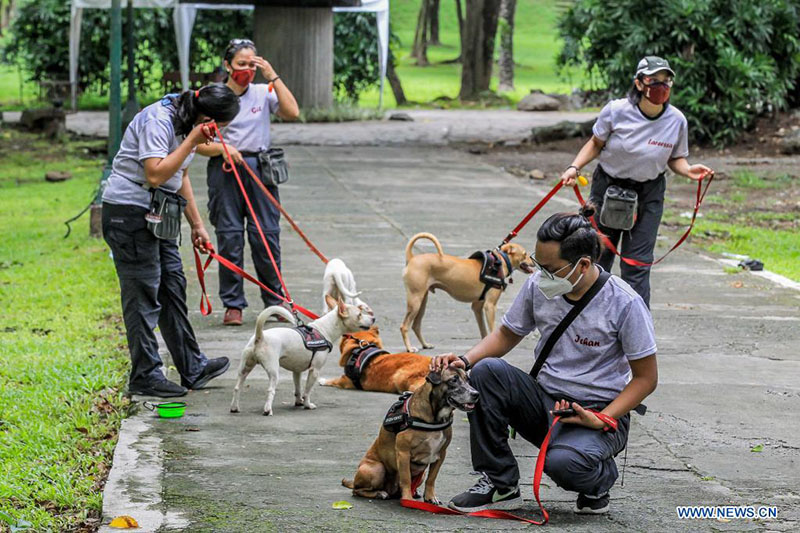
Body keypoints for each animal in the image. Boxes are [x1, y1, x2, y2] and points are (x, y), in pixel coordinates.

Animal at [231, 300, 376, 416]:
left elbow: (298, 389)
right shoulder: (314, 371)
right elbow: (307, 391)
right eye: (359, 314)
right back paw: (267, 410)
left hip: (244, 368)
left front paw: (298, 402)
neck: (323, 330)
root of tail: (259, 337)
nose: (373, 318)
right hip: (273, 372)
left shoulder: (297, 371)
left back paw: (234, 408)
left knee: (237, 387)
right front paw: (307, 405)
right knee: (270, 390)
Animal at [340, 366, 478, 502]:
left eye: (468, 379)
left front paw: (430, 496)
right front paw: (407, 499)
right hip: (377, 469)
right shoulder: (403, 453)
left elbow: (431, 479)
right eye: (453, 380)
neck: (435, 417)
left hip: (420, 474)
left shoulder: (440, 454)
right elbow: (406, 479)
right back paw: (380, 493)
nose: (476, 394)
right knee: (357, 490)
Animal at [398, 233, 532, 354]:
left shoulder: (477, 307)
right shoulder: (490, 306)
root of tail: (411, 258)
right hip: (415, 301)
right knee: (404, 326)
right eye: (525, 254)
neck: (500, 260)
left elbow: (483, 331)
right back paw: (409, 348)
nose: (533, 261)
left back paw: (425, 344)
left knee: (416, 325)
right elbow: (492, 330)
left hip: (422, 302)